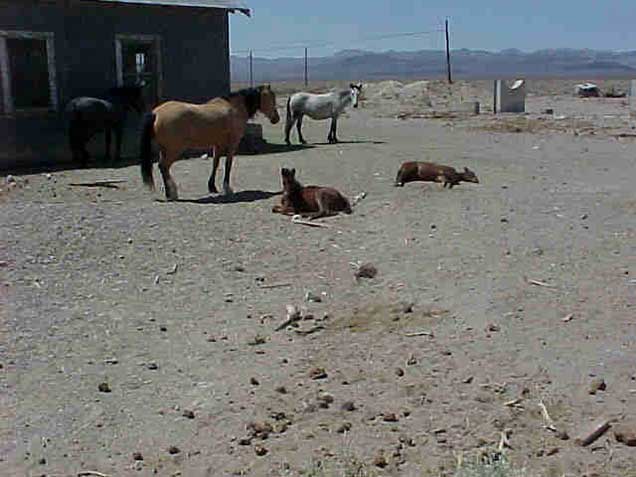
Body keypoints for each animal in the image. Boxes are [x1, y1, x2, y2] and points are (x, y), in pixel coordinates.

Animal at [140, 83, 280, 199]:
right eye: (270, 98)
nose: (276, 118)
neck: (234, 107)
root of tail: (156, 113)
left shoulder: (217, 144)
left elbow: (215, 164)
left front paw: (212, 187)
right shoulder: (232, 144)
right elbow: (228, 164)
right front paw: (227, 188)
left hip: (164, 149)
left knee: (163, 167)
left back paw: (169, 193)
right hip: (174, 150)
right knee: (163, 166)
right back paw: (172, 193)